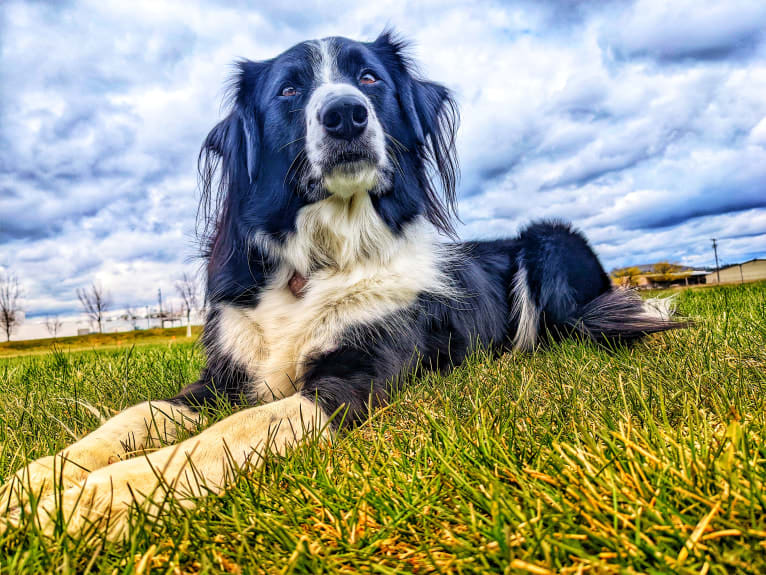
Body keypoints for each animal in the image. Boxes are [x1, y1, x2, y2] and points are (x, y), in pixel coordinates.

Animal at [1, 31, 684, 540]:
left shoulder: (351, 382)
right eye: (290, 88)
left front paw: (83, 504)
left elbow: (219, 436)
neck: (322, 257)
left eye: (370, 80)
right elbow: (135, 416)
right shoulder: (220, 378)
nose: (345, 114)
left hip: (551, 243)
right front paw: (29, 486)